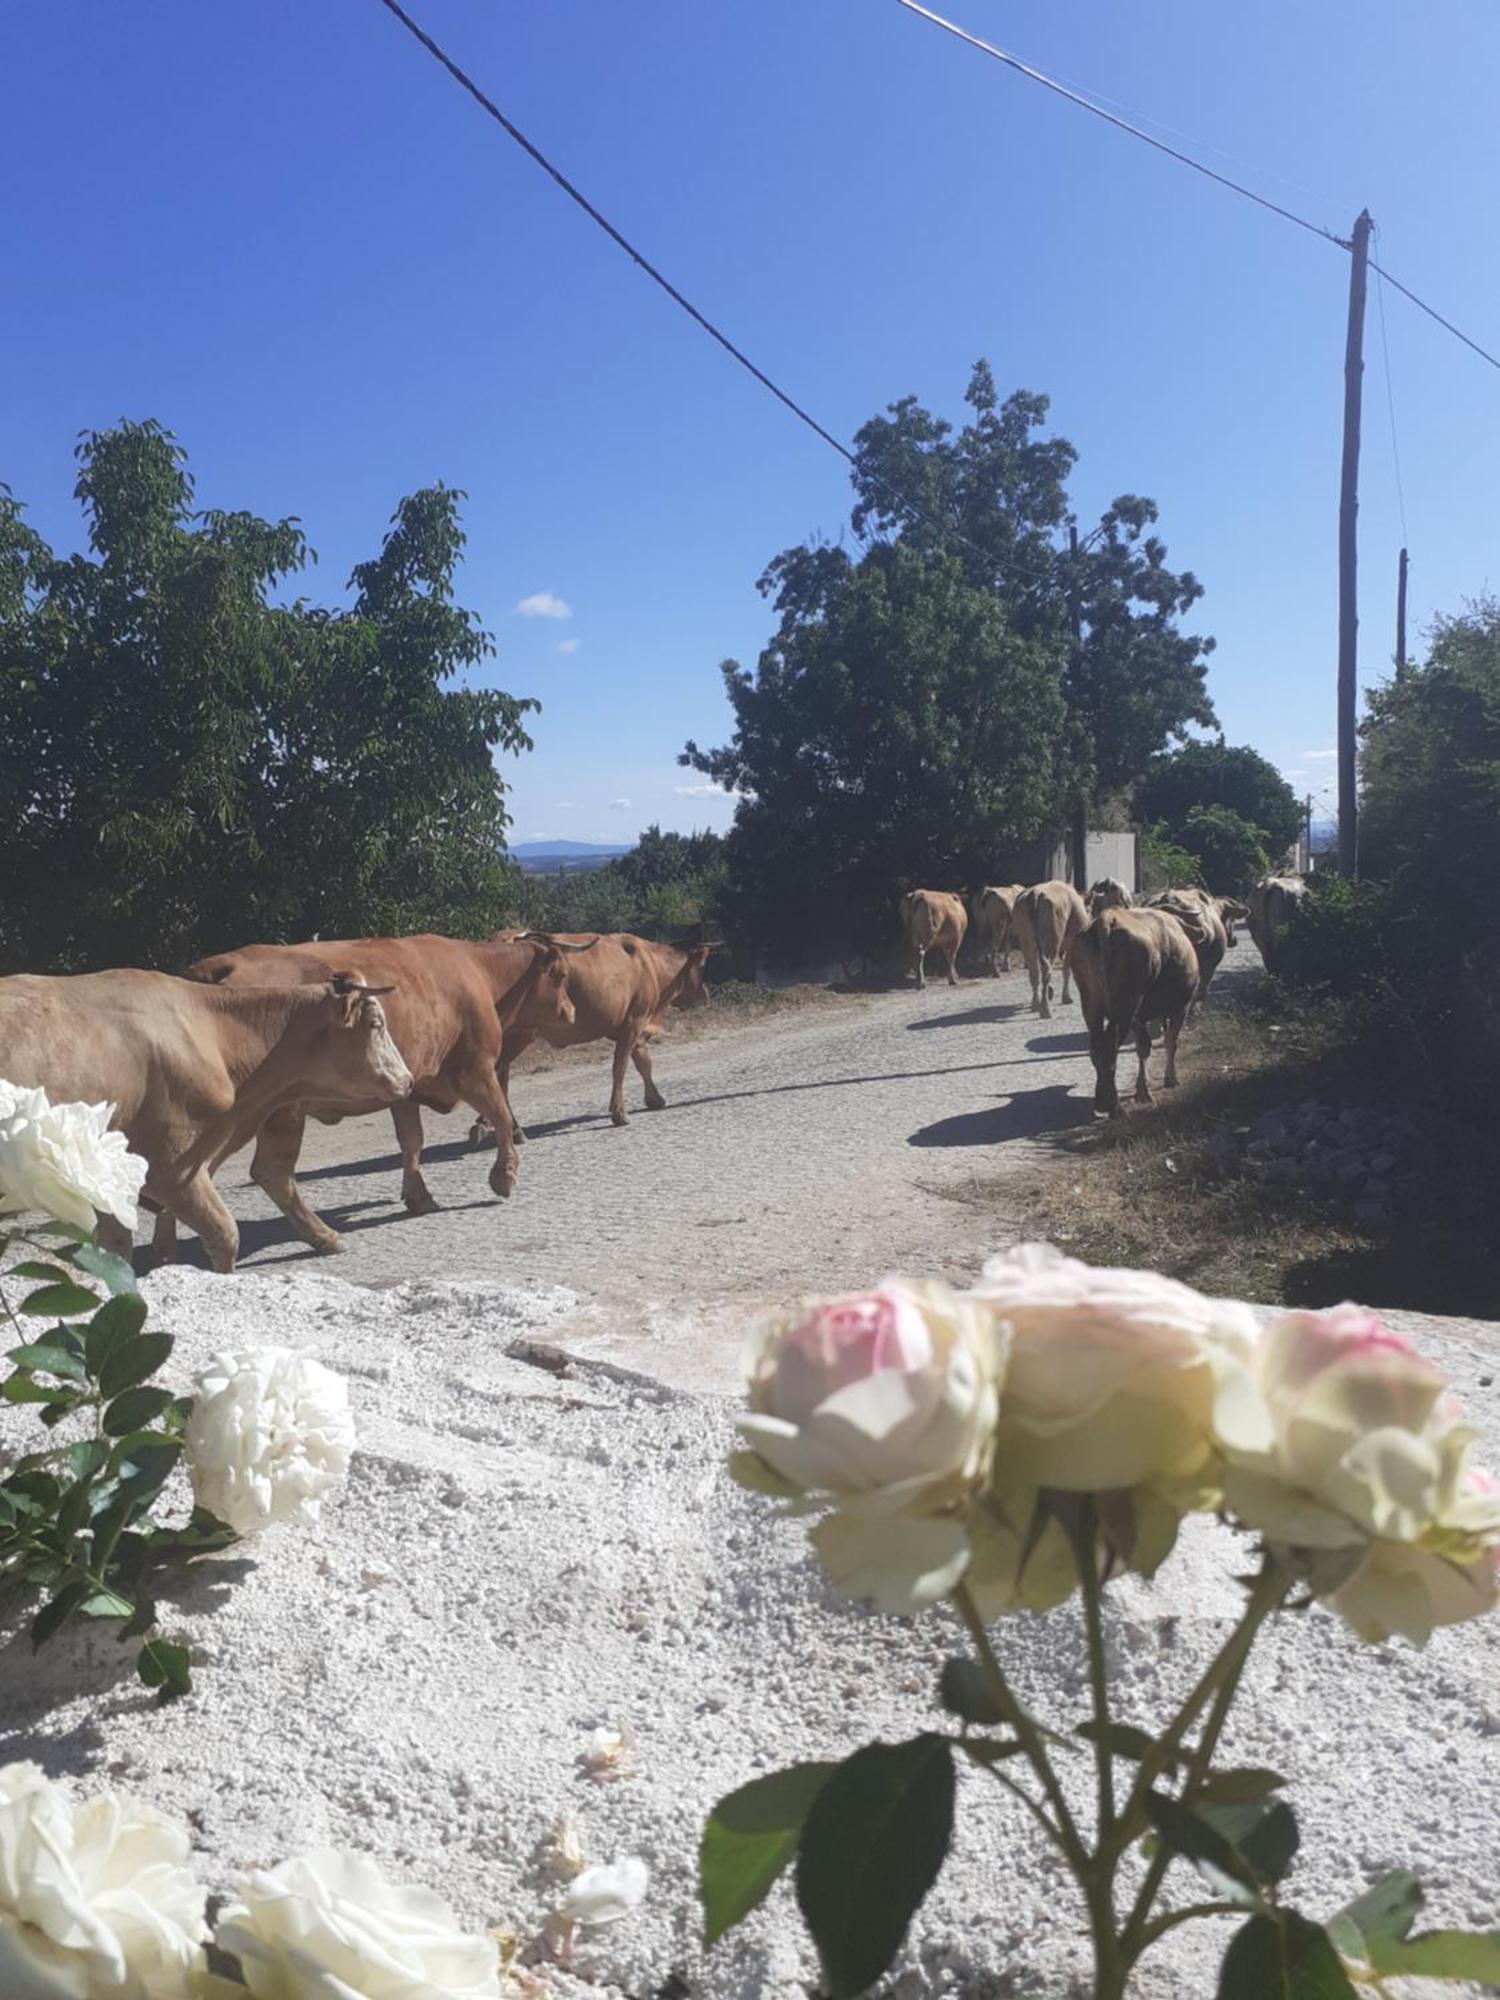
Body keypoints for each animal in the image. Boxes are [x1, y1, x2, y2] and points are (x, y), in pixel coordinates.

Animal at [191, 928, 604, 1240]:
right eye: (559, 975)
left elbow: (412, 1141)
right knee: (268, 1172)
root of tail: (219, 966)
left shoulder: (407, 1085)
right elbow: (501, 1116)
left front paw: (418, 1195)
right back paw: (318, 1237)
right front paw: (504, 1176)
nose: (570, 1012)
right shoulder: (475, 1069)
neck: (478, 972)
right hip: (278, 1111)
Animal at [484, 928, 712, 1136]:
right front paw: (619, 1113)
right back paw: (508, 1128)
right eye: (701, 967)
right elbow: (620, 1067)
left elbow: (644, 1063)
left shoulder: (632, 1028)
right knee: (498, 1076)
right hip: (519, 1033)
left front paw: (654, 1099)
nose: (706, 993)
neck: (651, 964)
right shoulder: (634, 1021)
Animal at [1012, 884, 1096, 1024]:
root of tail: (1035, 893)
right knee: (1046, 971)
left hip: (1026, 941)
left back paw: (1036, 1004)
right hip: (1051, 943)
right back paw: (1045, 1009)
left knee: (1034, 973)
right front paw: (1066, 997)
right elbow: (1066, 970)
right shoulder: (1071, 945)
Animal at [1072, 912, 1200, 1120]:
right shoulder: (1181, 1008)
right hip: (1124, 1007)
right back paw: (1115, 1108)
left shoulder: (1138, 1019)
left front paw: (1142, 1092)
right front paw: (1170, 1079)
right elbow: (1170, 1042)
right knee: (1110, 1049)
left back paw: (1101, 1102)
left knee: (1097, 1048)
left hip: (1092, 1006)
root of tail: (1107, 919)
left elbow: (1143, 1048)